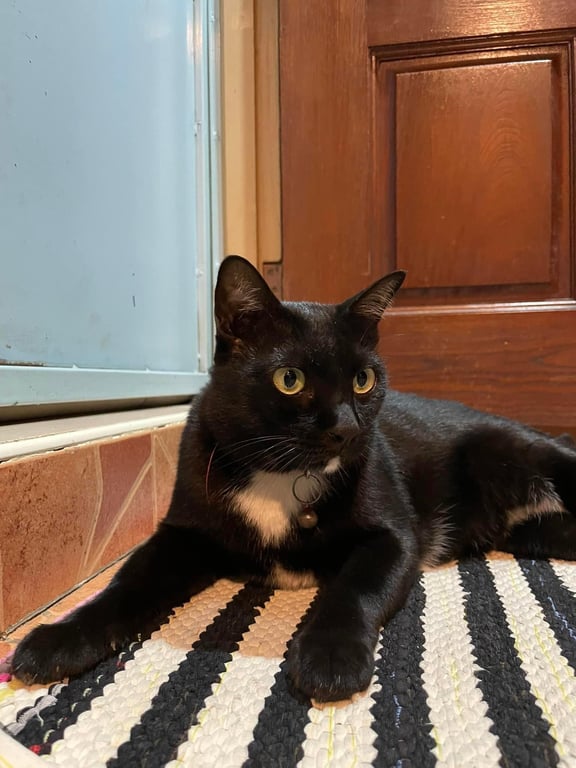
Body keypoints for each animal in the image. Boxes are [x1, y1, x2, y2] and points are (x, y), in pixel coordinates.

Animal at [11, 255, 576, 703]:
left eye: (363, 379)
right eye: (290, 379)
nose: (347, 428)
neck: (280, 476)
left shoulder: (394, 536)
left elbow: (355, 586)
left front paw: (329, 656)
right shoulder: (183, 533)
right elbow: (128, 582)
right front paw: (57, 640)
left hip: (527, 454)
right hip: (533, 530)